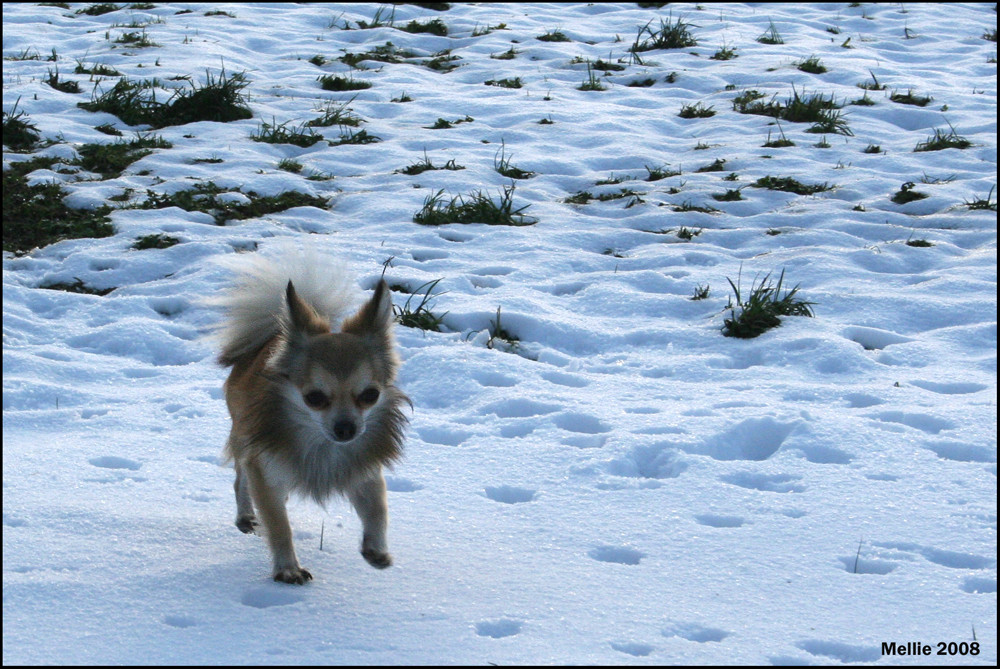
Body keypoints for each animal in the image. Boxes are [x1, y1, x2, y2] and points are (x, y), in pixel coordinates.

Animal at [209, 247, 408, 584]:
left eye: (370, 395)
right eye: (314, 398)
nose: (346, 428)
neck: (322, 445)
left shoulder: (363, 469)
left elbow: (378, 509)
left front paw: (376, 549)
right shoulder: (265, 470)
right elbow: (279, 526)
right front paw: (287, 568)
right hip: (245, 438)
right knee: (241, 479)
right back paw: (246, 515)